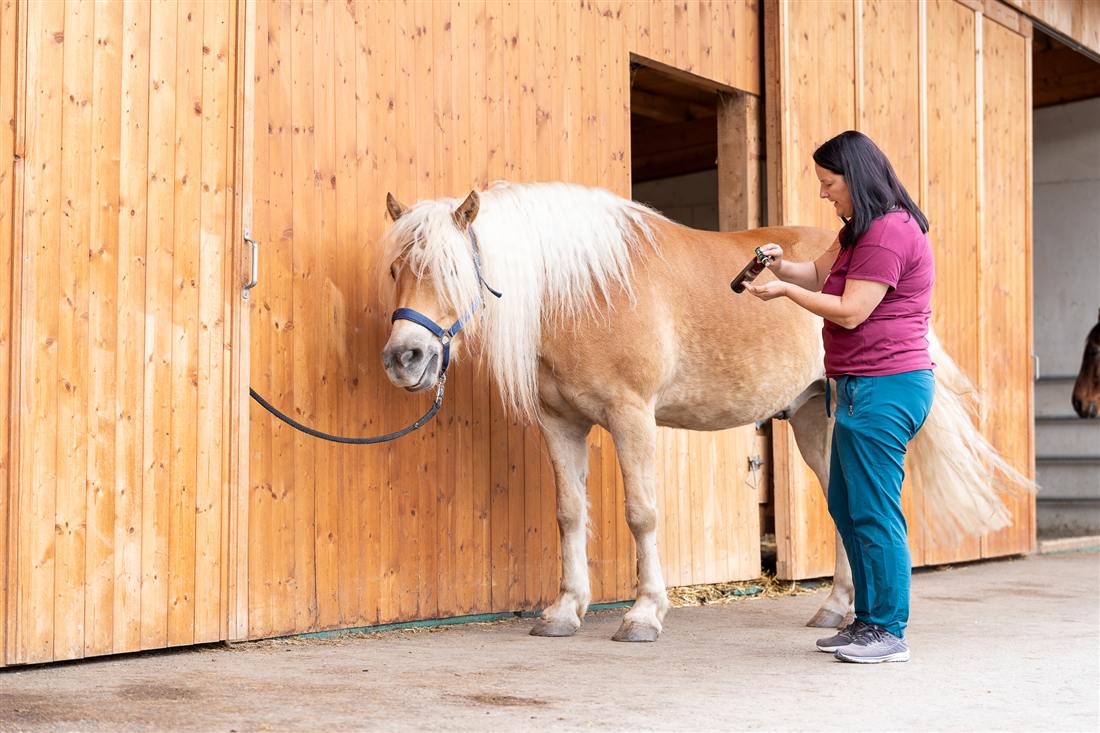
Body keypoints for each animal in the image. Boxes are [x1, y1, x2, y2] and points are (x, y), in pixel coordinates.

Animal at [378, 181, 1033, 642]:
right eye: (394, 270)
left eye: (453, 270)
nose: (404, 358)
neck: (583, 292)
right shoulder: (560, 423)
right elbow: (569, 514)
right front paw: (564, 611)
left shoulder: (631, 416)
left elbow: (641, 514)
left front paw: (644, 615)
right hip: (816, 419)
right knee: (843, 507)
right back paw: (835, 610)